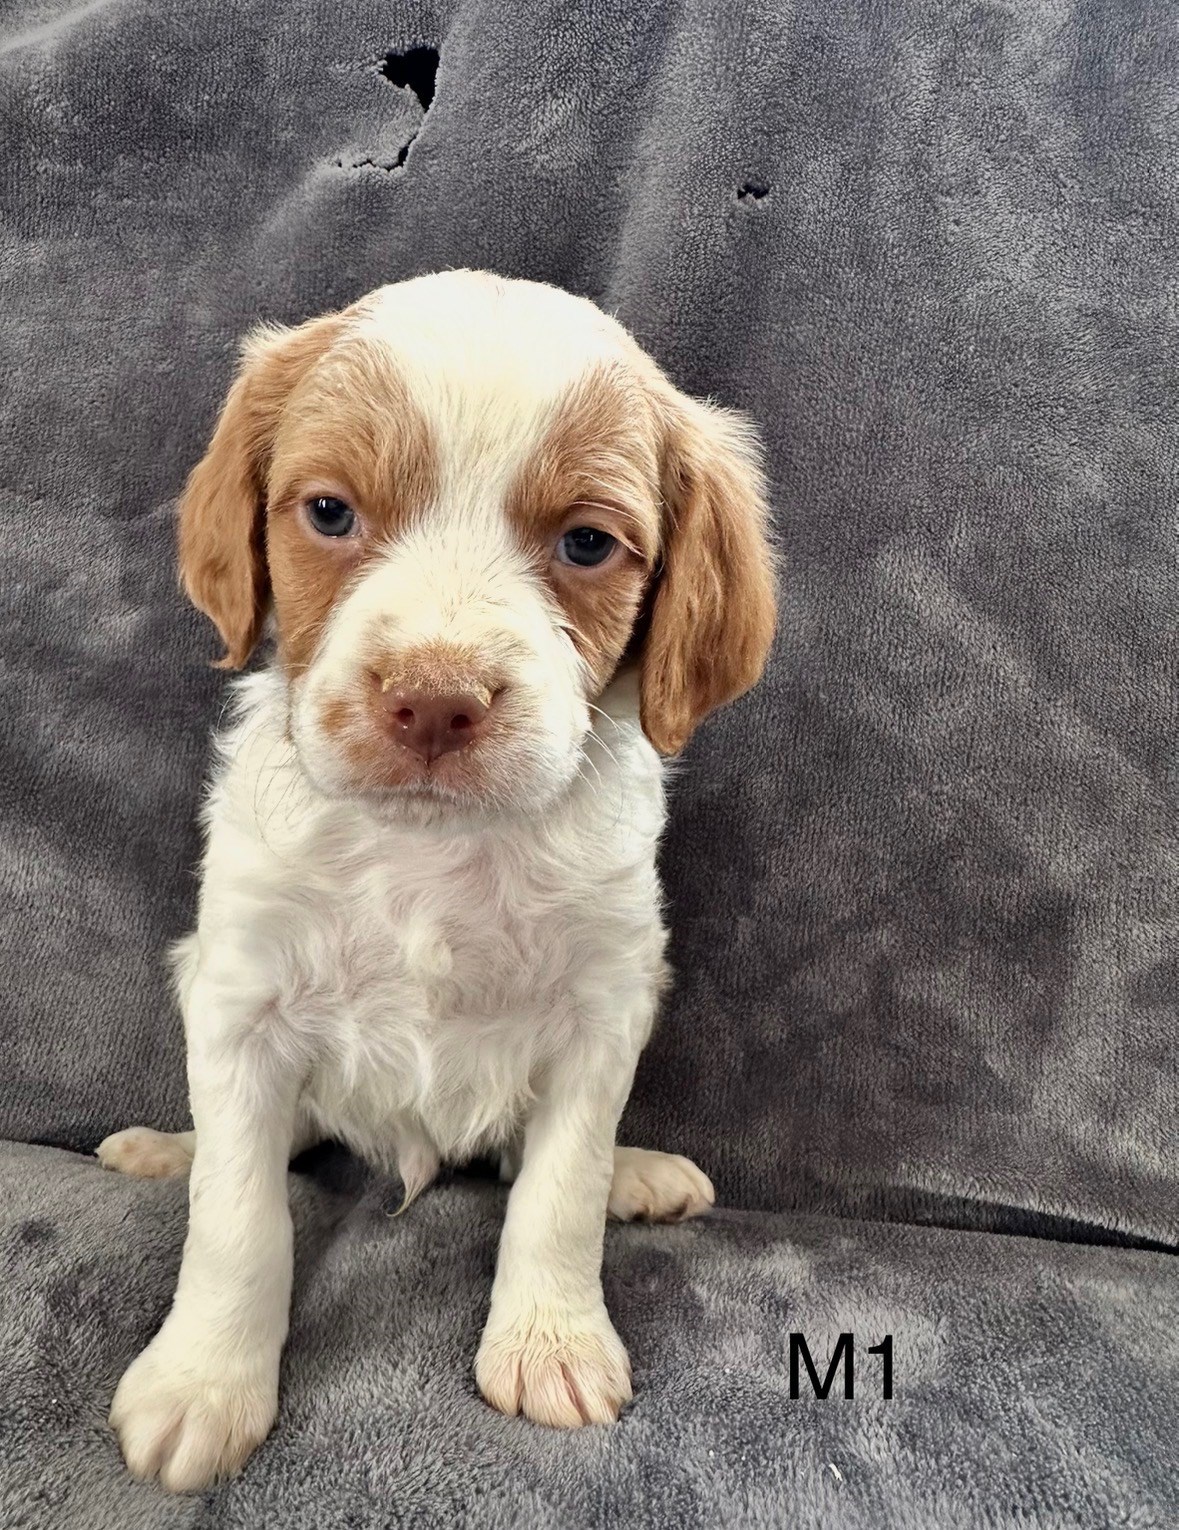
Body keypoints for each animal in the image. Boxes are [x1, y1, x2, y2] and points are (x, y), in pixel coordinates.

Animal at [96, 270, 776, 1492]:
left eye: (588, 543)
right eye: (329, 514)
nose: (435, 699)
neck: (432, 850)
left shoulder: (603, 1009)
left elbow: (556, 1194)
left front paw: (551, 1343)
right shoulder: (240, 1002)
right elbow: (239, 1220)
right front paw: (203, 1382)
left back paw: (636, 1175)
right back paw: (165, 1151)